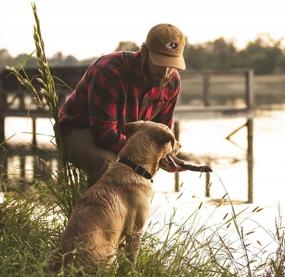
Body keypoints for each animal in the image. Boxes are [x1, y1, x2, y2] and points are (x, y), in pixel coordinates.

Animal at [45, 120, 181, 270]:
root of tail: (67, 261)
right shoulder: (135, 231)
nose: (181, 145)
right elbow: (132, 260)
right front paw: (133, 271)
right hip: (111, 256)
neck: (134, 166)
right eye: (172, 138)